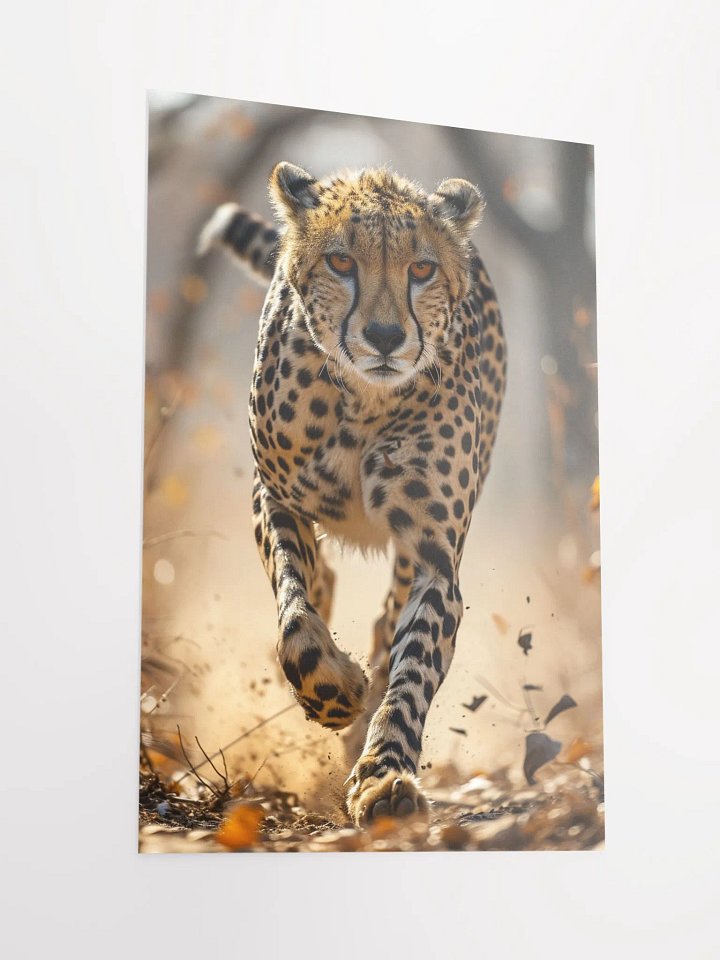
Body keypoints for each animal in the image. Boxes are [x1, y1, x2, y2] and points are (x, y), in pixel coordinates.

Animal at [199, 162, 507, 826]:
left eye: (422, 269)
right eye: (341, 262)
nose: (385, 336)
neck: (363, 401)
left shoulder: (434, 555)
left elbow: (411, 668)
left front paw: (383, 776)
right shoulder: (275, 497)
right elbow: (294, 616)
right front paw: (334, 688)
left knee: (386, 626)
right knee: (320, 587)